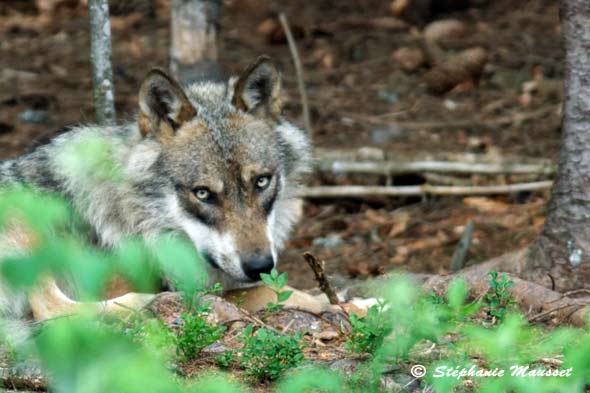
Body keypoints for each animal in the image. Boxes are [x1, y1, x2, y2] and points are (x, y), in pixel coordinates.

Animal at [0, 56, 328, 320]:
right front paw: (334, 304)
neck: (138, 218)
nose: (259, 265)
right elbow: (273, 292)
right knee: (52, 308)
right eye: (203, 193)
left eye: (261, 181)